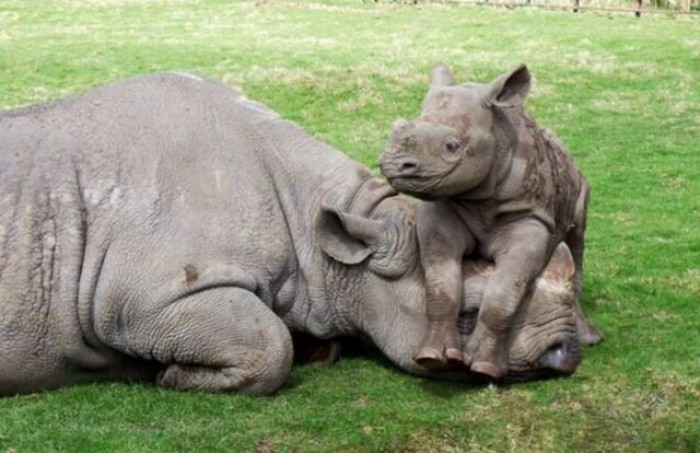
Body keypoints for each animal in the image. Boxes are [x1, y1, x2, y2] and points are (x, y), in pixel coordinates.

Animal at [379, 64, 602, 379]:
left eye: (452, 146)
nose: (393, 165)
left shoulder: (529, 216)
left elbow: (504, 290)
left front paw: (483, 367)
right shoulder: (442, 207)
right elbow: (441, 285)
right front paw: (433, 357)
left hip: (580, 184)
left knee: (576, 241)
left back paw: (590, 338)